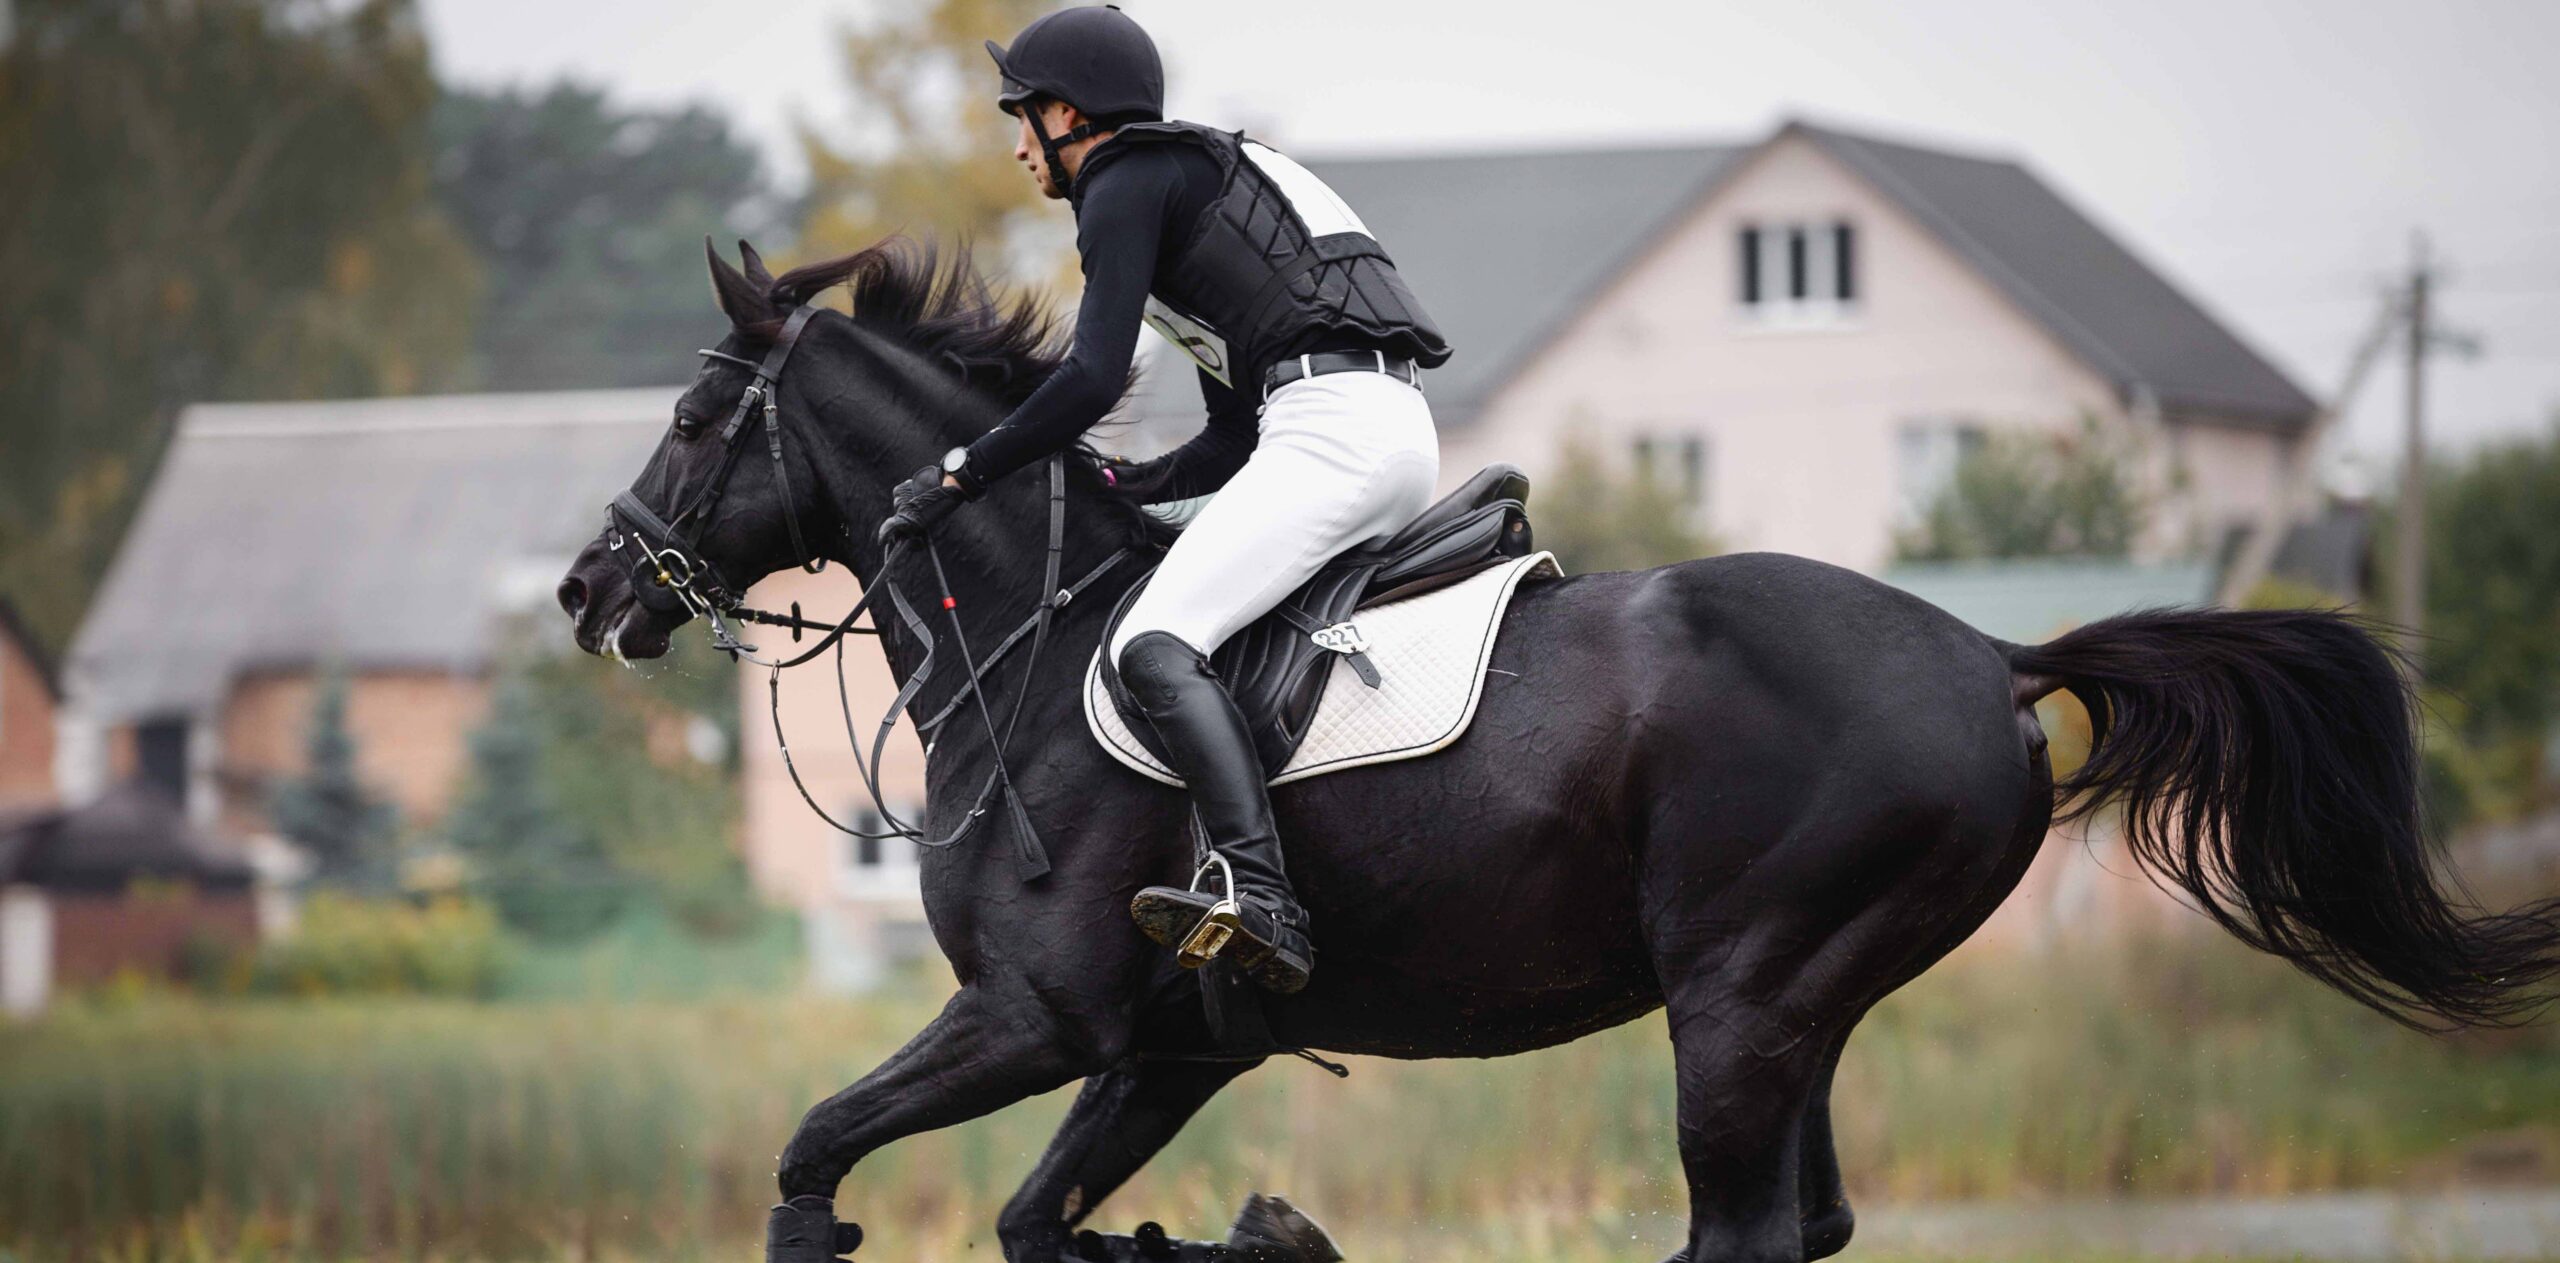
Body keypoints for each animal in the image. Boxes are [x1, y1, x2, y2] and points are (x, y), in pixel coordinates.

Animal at [554, 237, 2560, 1263]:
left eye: (693, 416)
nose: (588, 586)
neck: (1034, 649)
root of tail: (1991, 655)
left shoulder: (1038, 1017)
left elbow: (816, 1157)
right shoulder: (1172, 1048)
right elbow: (1041, 1223)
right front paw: (1247, 1233)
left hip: (1741, 992)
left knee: (1741, 1233)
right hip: (1802, 1002)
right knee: (1805, 1222)